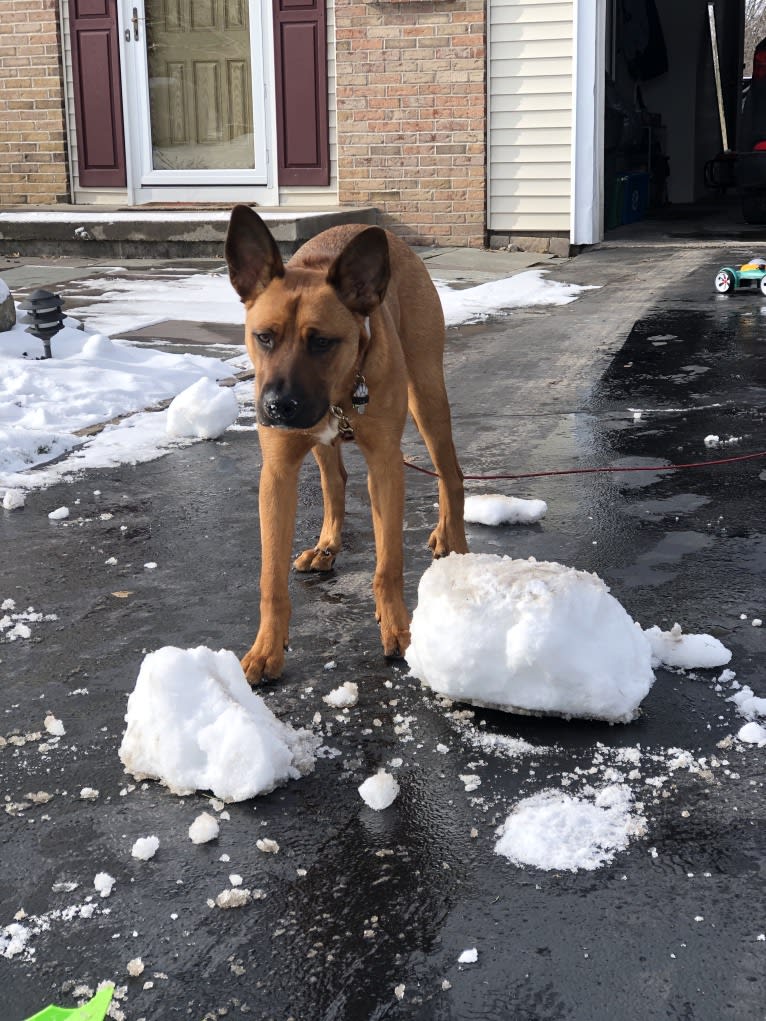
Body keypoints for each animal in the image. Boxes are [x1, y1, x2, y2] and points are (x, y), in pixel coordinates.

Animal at [224, 205, 471, 686]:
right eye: (264, 337)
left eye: (322, 341)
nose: (278, 407)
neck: (341, 393)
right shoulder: (277, 474)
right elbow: (270, 579)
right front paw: (266, 648)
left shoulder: (386, 466)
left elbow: (388, 563)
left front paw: (397, 628)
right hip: (323, 443)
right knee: (334, 480)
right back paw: (327, 545)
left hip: (427, 396)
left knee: (451, 473)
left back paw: (454, 539)